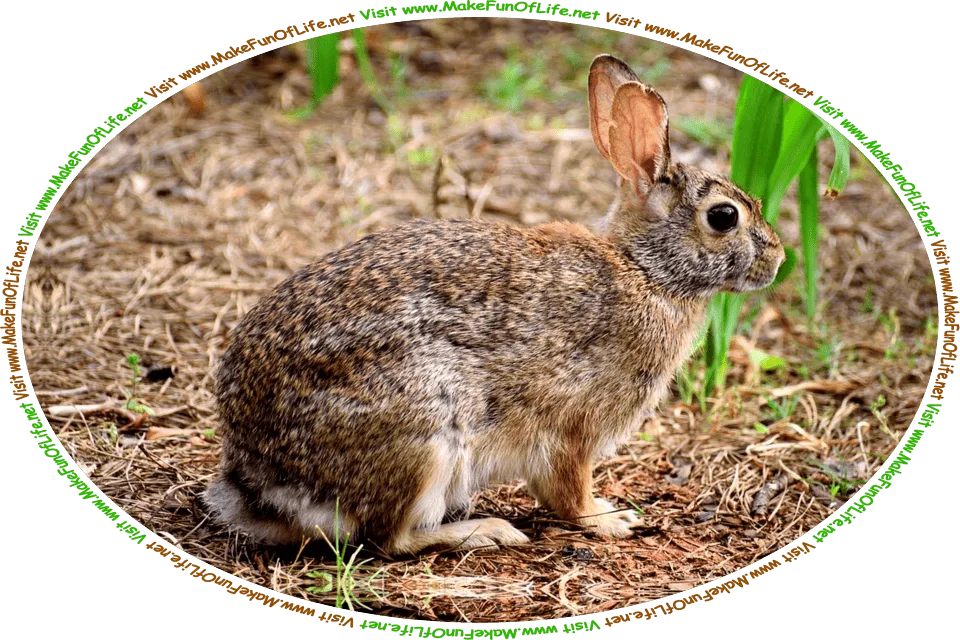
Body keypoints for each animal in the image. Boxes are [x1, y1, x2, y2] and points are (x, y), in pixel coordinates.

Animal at [203, 54, 785, 555]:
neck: (645, 269)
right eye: (724, 217)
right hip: (427, 433)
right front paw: (611, 519)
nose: (778, 259)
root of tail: (261, 481)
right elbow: (569, 492)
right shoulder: (572, 426)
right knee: (388, 538)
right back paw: (486, 531)